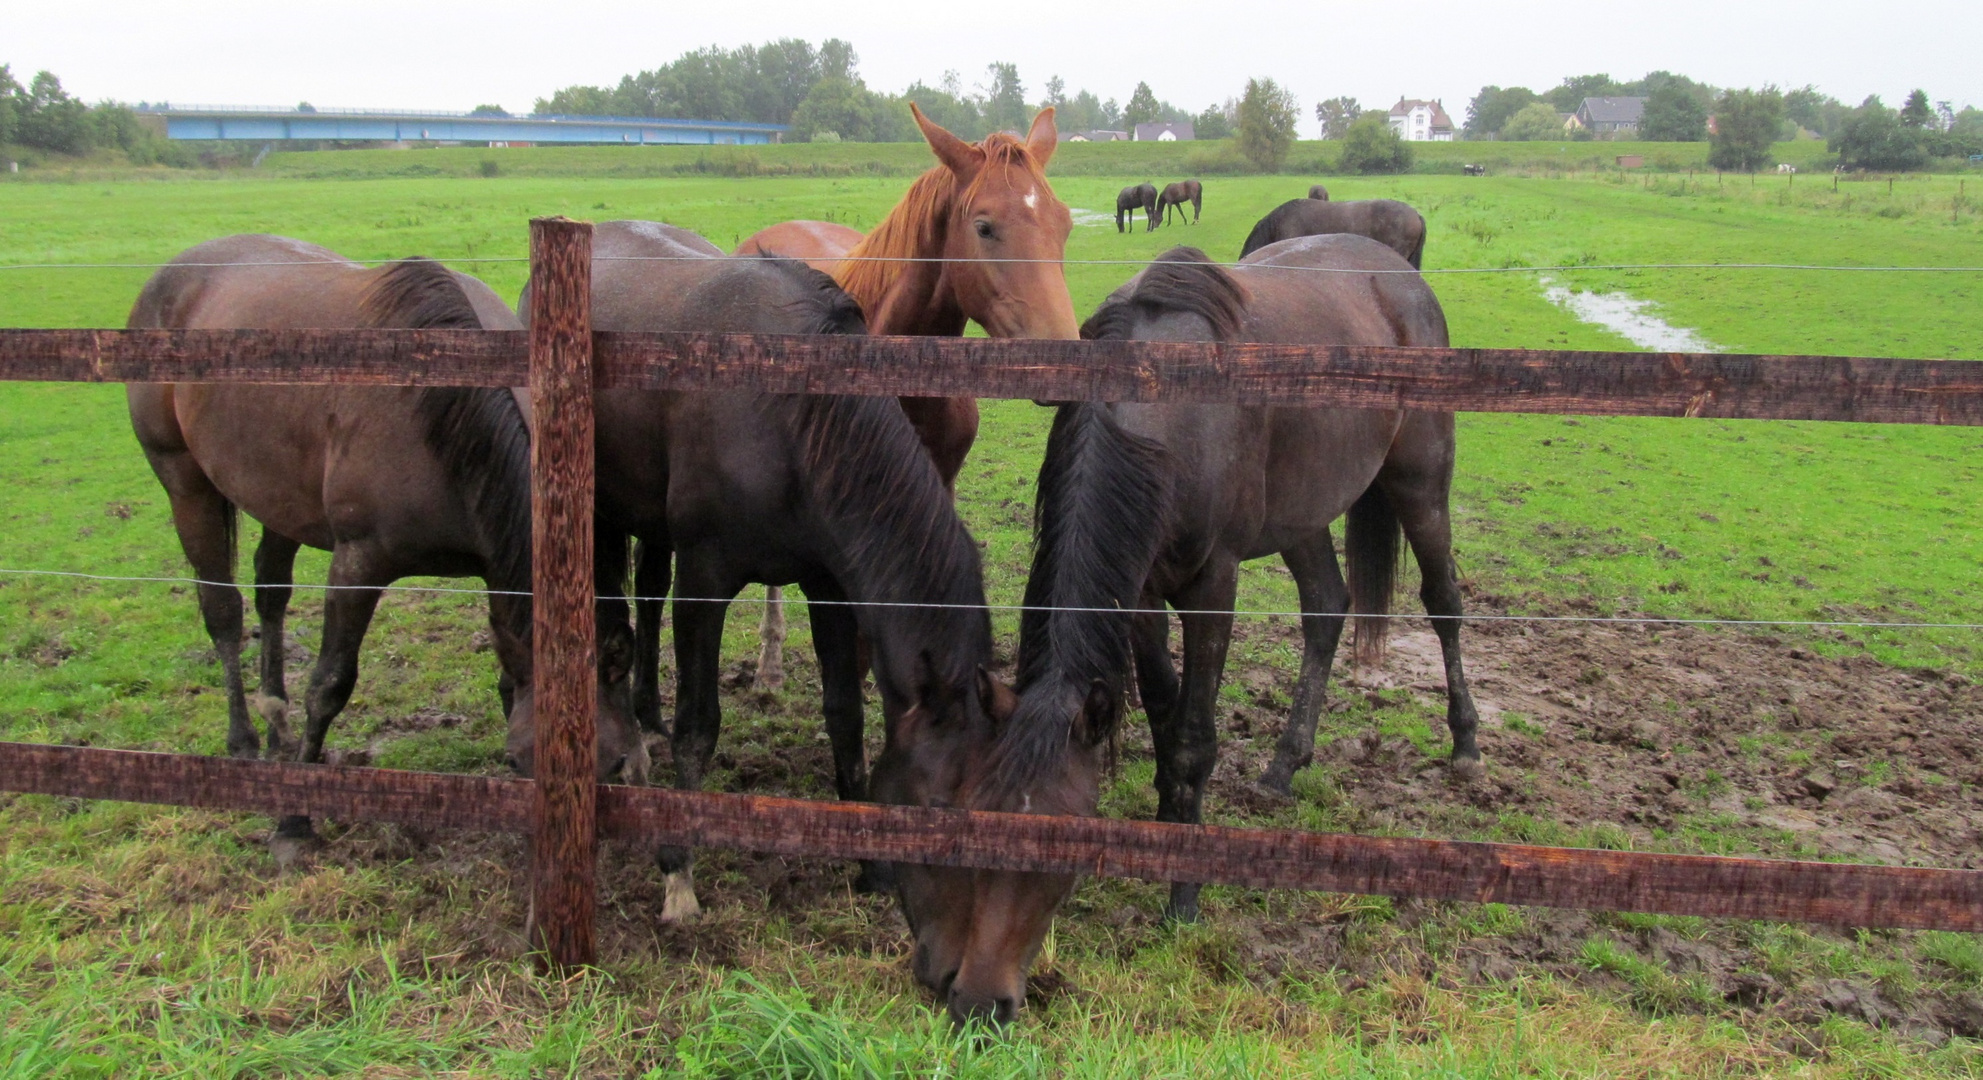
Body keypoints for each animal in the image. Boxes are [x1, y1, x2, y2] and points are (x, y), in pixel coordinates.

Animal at [123, 235, 646, 840]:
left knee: (270, 595)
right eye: (517, 762)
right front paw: (294, 822)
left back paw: (276, 728)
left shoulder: (494, 567)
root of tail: (174, 271)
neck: (445, 420)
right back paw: (245, 743)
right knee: (222, 611)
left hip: (279, 498)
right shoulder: (359, 563)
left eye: (613, 765)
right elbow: (329, 685)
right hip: (185, 482)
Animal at [523, 222, 1007, 923]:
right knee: (610, 625)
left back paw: (645, 719)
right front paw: (677, 870)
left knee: (644, 599)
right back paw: (633, 754)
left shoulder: (829, 589)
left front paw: (867, 864)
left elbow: (845, 714)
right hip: (595, 512)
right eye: (940, 799)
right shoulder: (705, 584)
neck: (794, 417)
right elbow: (699, 727)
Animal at [876, 239, 1483, 1022]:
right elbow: (1164, 714)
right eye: (970, 812)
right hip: (1302, 515)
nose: (980, 1002)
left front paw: (1184, 892)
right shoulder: (1138, 593)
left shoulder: (1211, 586)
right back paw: (1284, 765)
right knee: (1325, 608)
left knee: (1443, 602)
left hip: (1420, 477)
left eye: (1065, 845)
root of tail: (1396, 271)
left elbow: (1194, 734)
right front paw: (1169, 821)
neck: (1164, 409)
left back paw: (1466, 744)